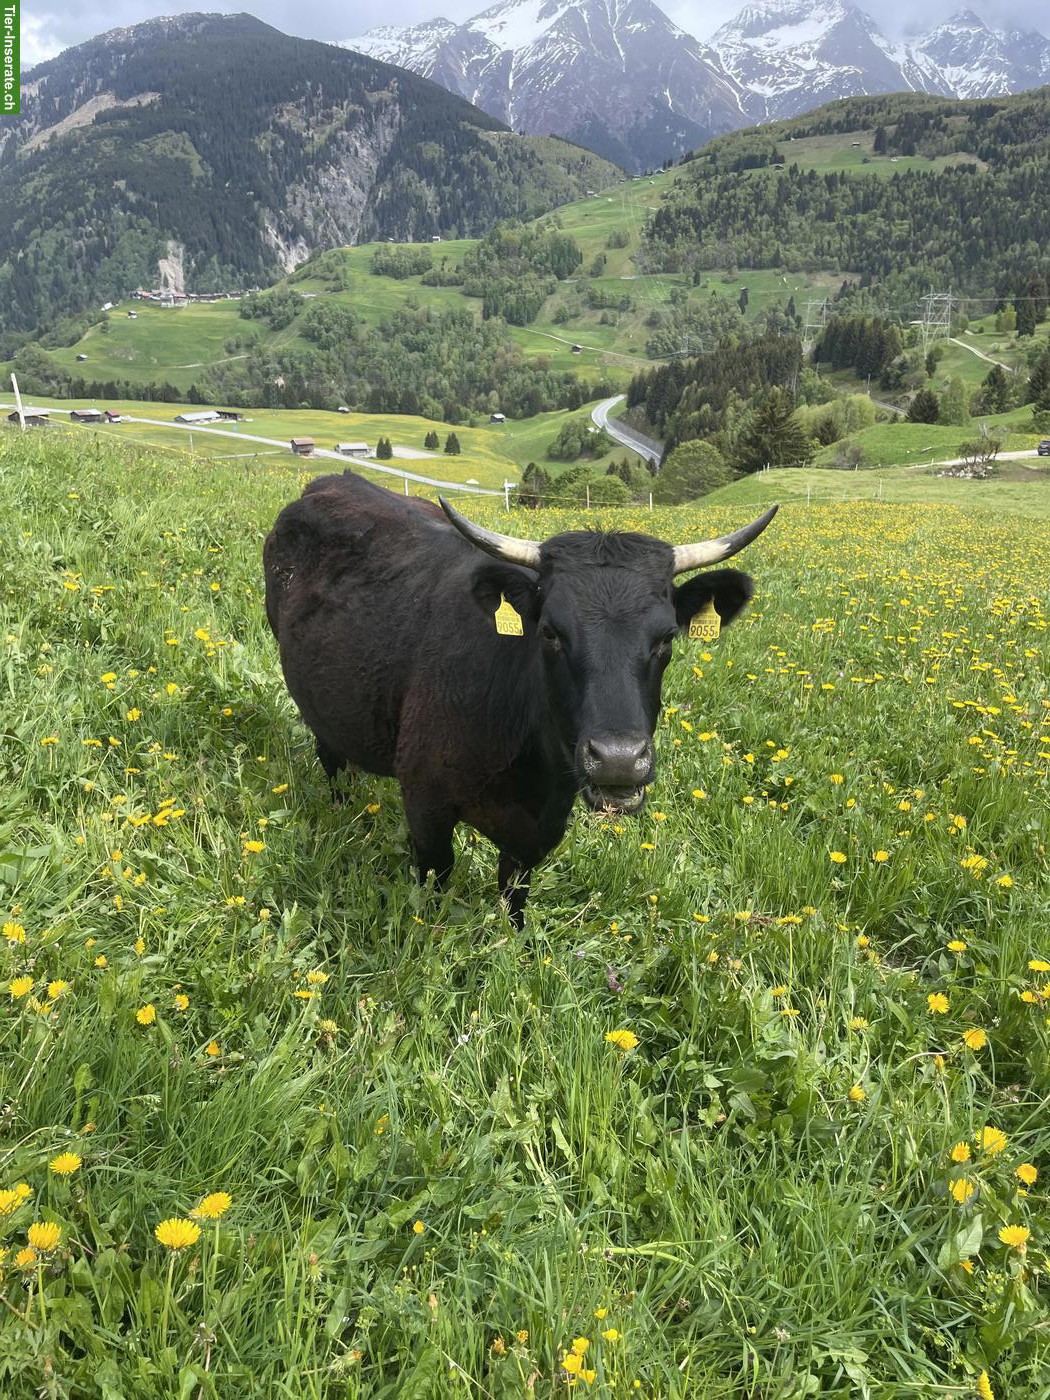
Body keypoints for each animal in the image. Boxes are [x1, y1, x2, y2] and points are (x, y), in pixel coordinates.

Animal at [264, 471, 776, 925]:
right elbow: (435, 880)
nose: (618, 760)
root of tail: (332, 481)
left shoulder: (541, 828)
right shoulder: (425, 804)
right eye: (549, 632)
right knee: (331, 759)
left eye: (667, 637)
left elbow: (515, 894)